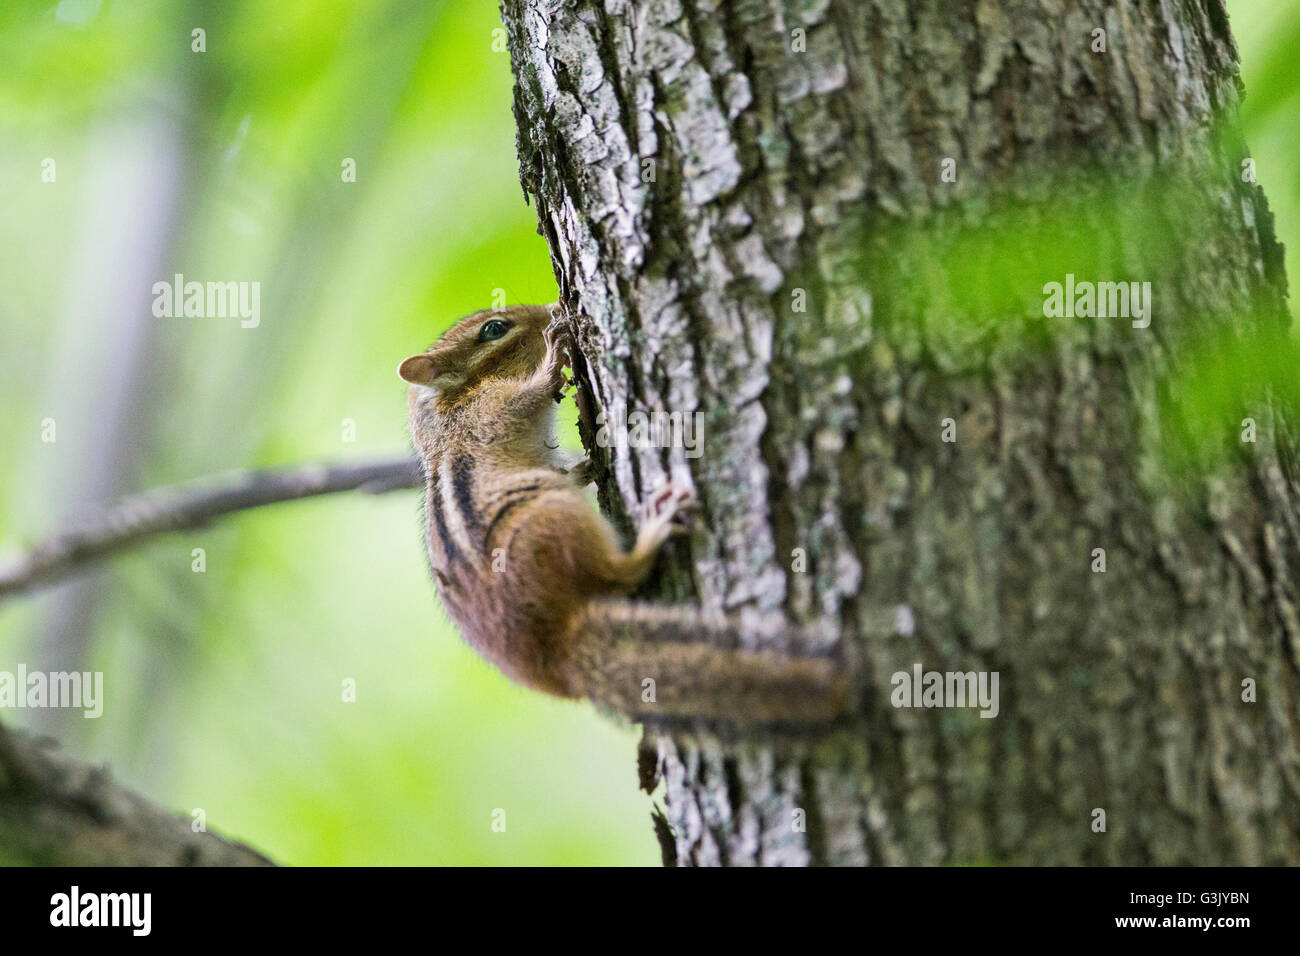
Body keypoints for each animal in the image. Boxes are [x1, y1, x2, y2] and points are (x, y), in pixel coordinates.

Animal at [397, 303, 863, 724]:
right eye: (494, 328)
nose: (549, 307)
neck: (449, 404)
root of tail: (560, 650)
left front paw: (581, 466)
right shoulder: (490, 412)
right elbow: (532, 396)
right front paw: (554, 355)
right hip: (553, 518)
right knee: (621, 573)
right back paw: (654, 530)